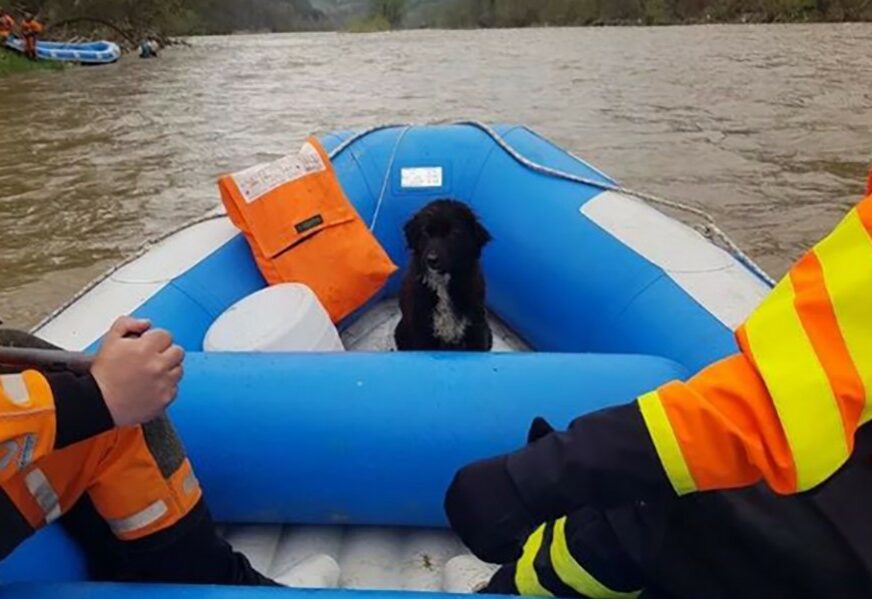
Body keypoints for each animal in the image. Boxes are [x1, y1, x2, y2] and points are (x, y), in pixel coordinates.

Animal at [394, 202, 490, 352]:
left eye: (454, 233)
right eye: (425, 232)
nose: (431, 260)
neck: (443, 285)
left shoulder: (476, 328)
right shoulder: (421, 331)